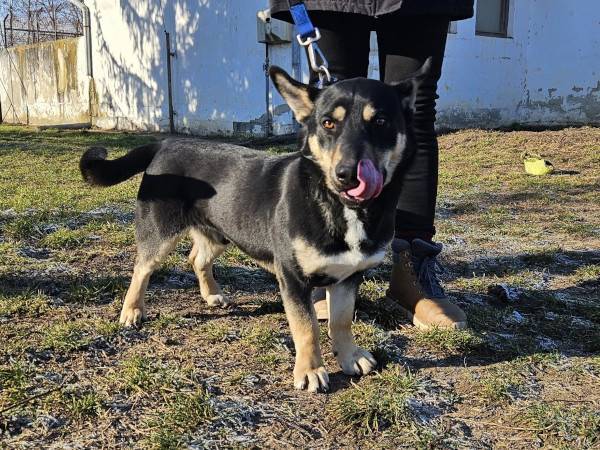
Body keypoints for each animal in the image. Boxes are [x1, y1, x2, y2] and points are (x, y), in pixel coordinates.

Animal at [79, 60, 429, 392]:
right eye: (328, 123)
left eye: (380, 121)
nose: (347, 175)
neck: (338, 205)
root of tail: (165, 144)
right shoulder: (293, 278)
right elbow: (307, 327)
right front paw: (310, 370)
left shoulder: (349, 276)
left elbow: (341, 321)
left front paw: (349, 356)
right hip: (159, 232)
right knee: (142, 268)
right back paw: (132, 312)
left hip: (220, 231)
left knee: (196, 258)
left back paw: (211, 294)